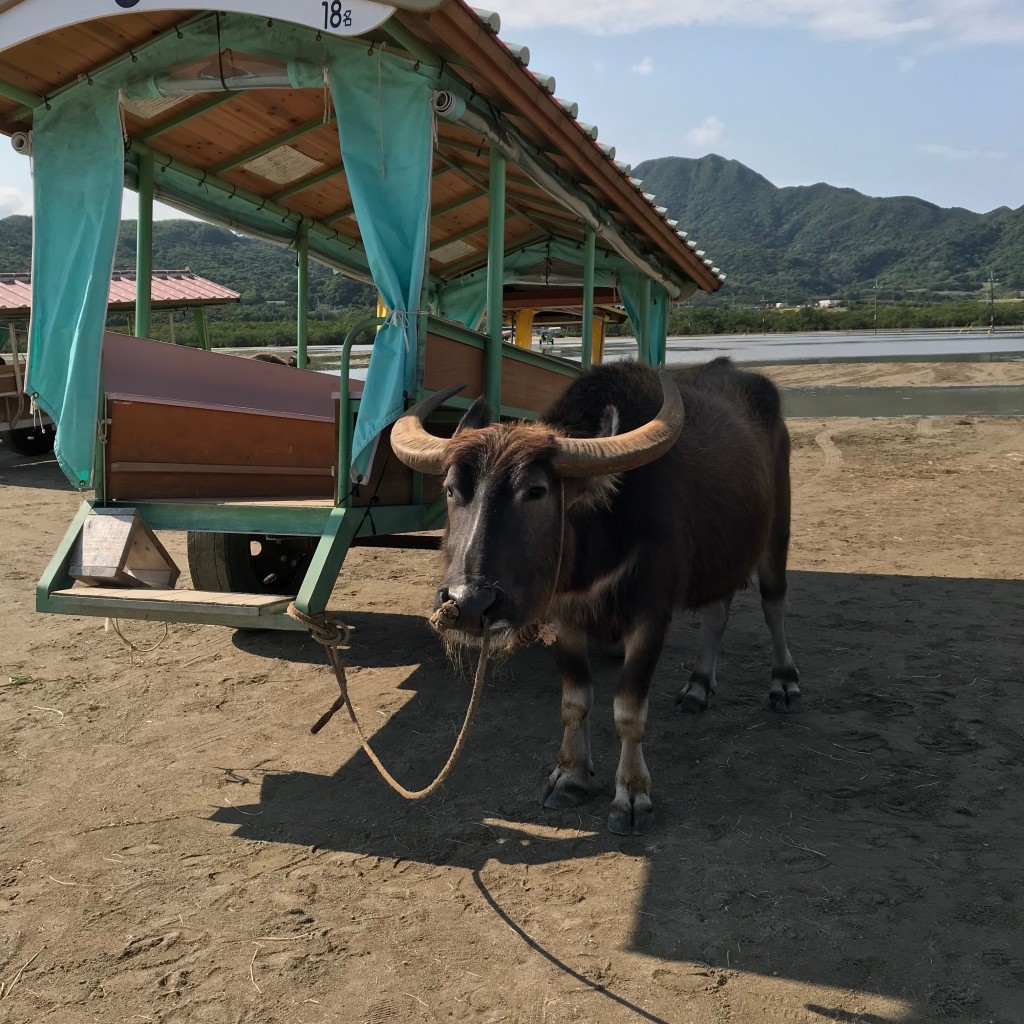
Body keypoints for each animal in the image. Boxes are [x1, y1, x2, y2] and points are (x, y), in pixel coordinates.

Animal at [387, 358, 794, 831]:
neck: (601, 537)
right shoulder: (566, 617)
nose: (468, 604)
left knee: (774, 604)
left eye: (536, 490)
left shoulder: (651, 616)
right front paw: (570, 776)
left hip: (776, 532)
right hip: (723, 554)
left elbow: (628, 710)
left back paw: (784, 684)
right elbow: (575, 700)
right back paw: (696, 688)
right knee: (718, 611)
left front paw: (632, 795)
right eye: (452, 490)